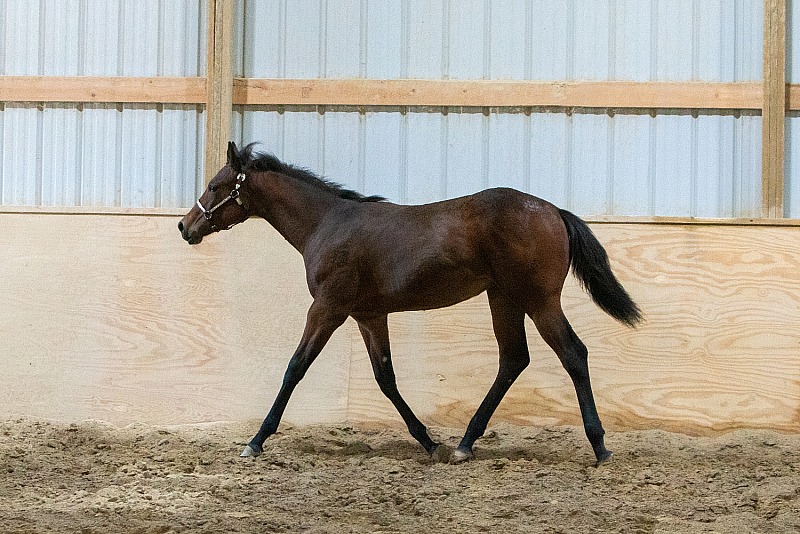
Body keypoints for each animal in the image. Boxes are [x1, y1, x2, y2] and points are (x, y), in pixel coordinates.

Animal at [179, 141, 642, 466]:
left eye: (216, 186)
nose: (185, 226)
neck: (326, 224)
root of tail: (553, 211)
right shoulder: (368, 315)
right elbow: (386, 379)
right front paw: (429, 442)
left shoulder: (327, 309)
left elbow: (295, 367)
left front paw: (255, 441)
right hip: (503, 298)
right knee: (513, 359)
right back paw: (463, 444)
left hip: (538, 299)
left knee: (572, 353)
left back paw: (600, 447)